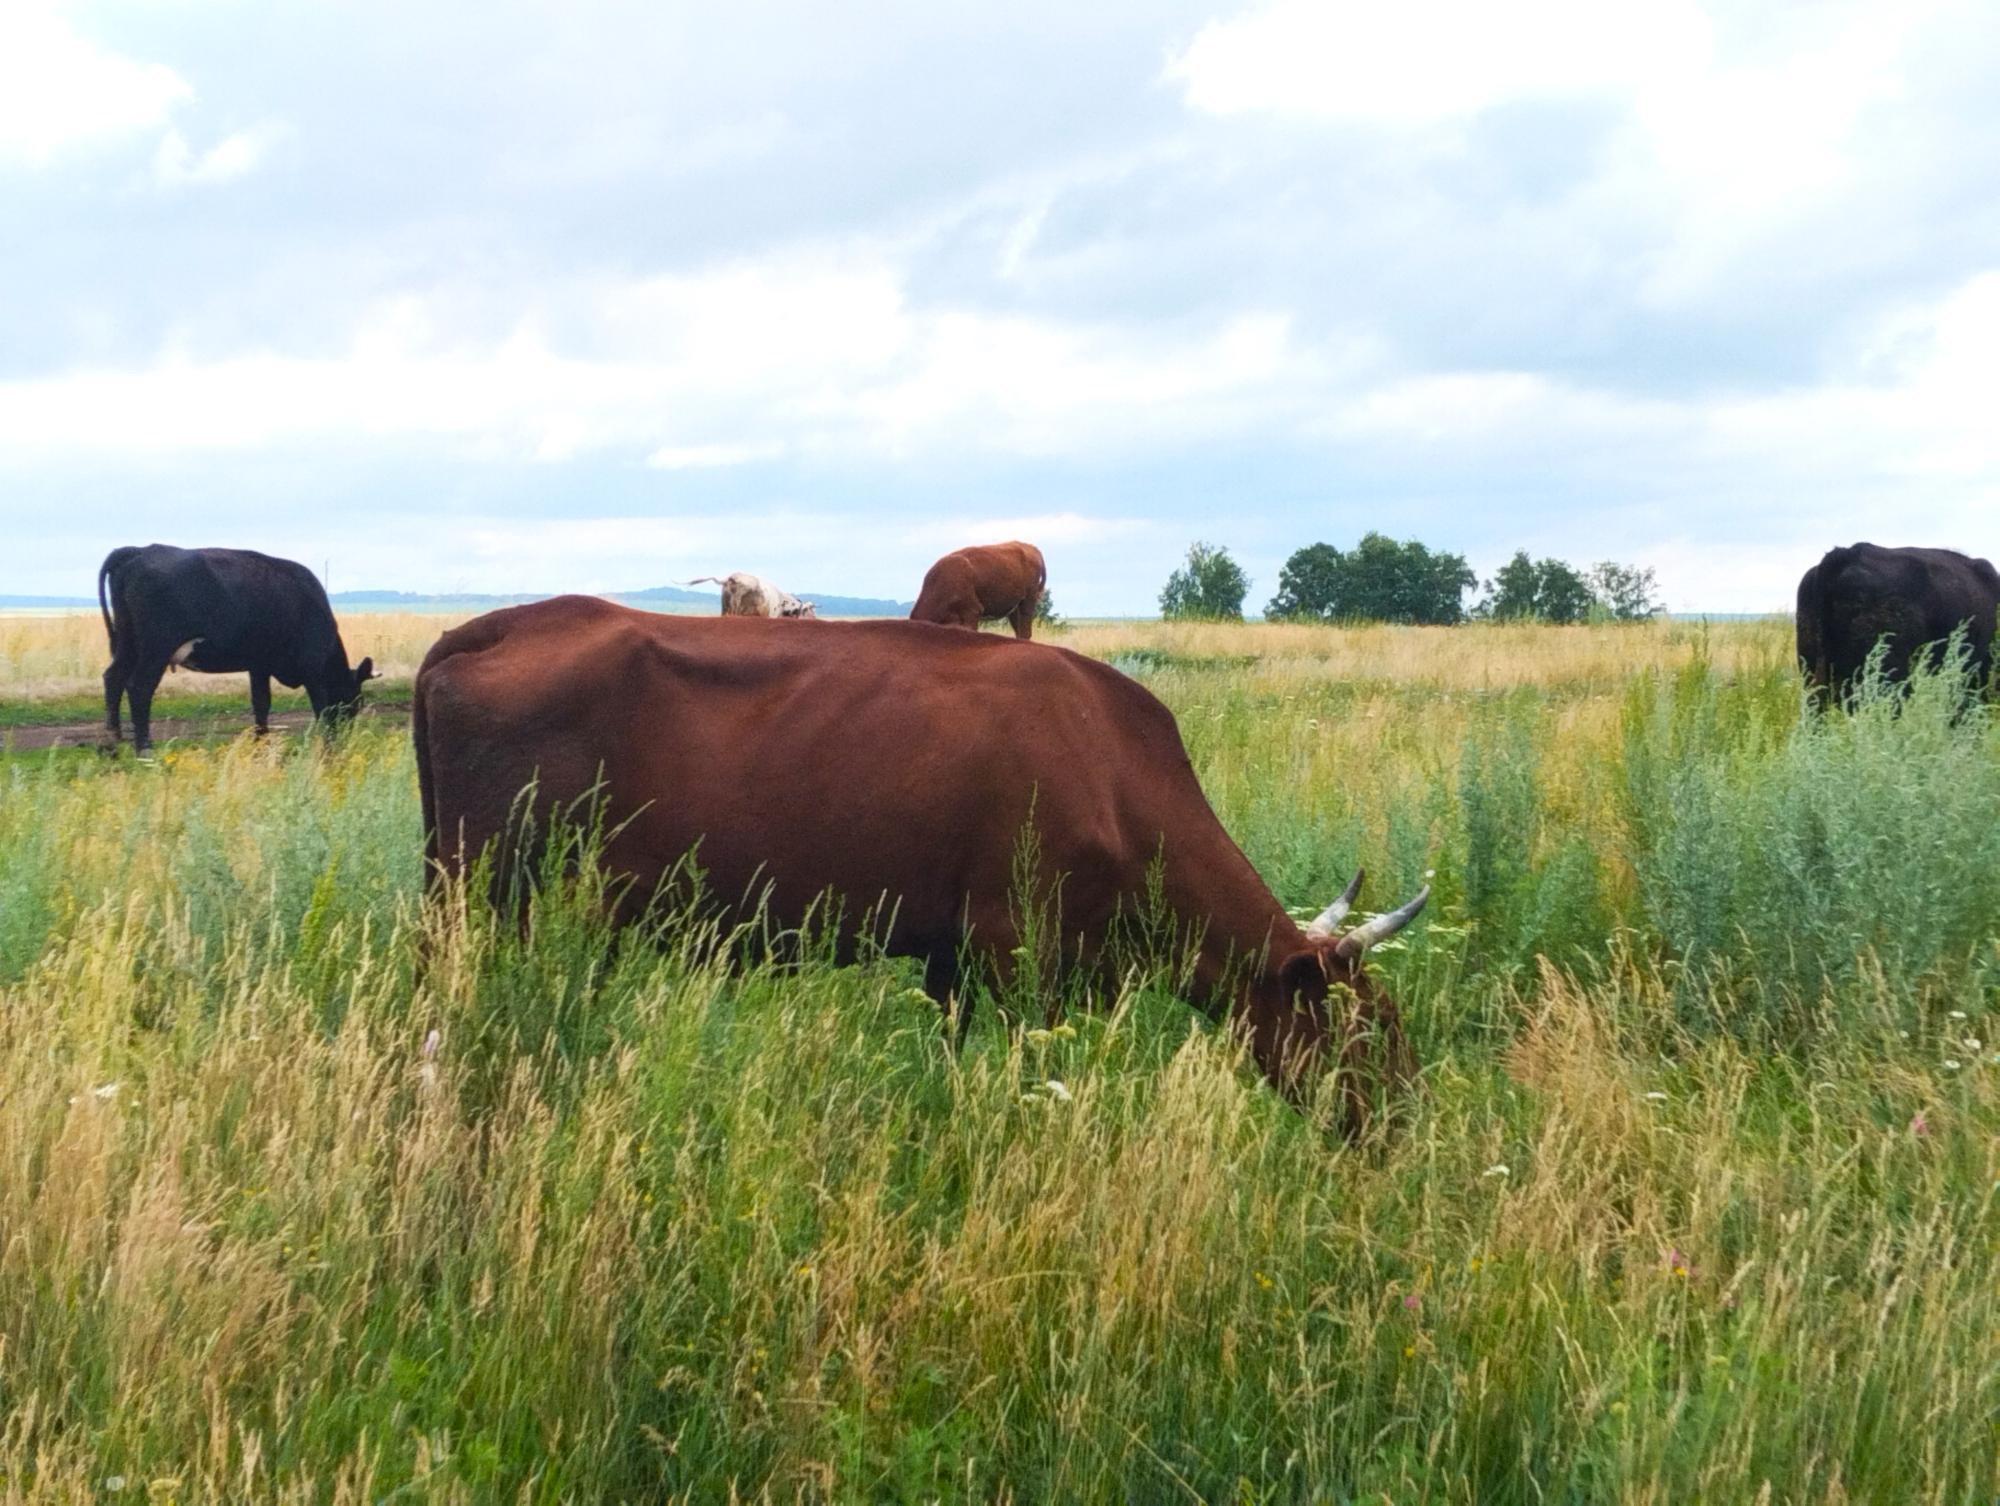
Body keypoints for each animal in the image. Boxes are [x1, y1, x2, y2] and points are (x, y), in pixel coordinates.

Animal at [96, 544, 378, 756]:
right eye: (355, 700)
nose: (347, 735)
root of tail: (141, 550)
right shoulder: (313, 670)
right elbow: (321, 707)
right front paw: (328, 743)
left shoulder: (259, 664)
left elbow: (261, 703)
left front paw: (260, 743)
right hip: (157, 647)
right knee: (139, 687)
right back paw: (144, 749)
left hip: (127, 642)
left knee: (113, 678)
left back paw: (112, 744)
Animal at [414, 592, 1432, 1120]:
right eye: (1366, 1033)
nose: (1402, 1128)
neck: (1112, 767)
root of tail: (492, 624)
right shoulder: (1020, 950)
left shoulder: (951, 954)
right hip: (479, 891)